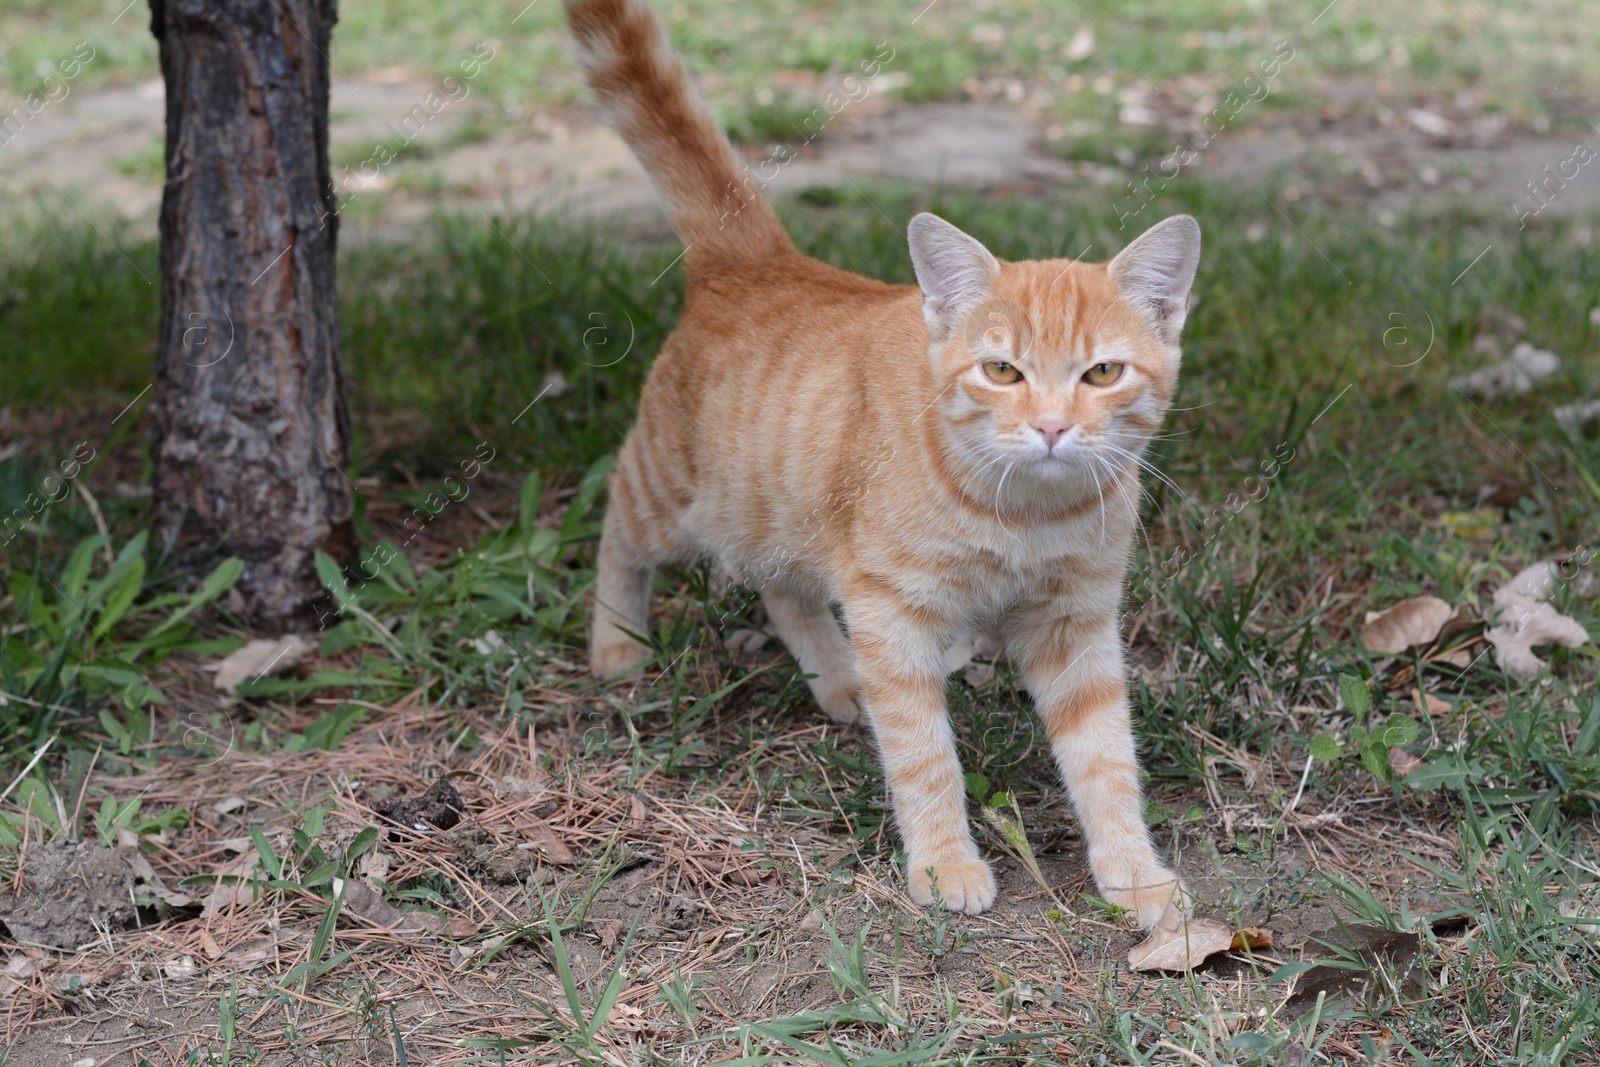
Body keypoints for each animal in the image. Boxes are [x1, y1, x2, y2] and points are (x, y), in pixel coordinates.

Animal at [569, 0, 1196, 927]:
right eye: (1001, 370)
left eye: (1102, 373)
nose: (1050, 427)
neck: (1026, 512)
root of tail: (759, 259)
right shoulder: (892, 612)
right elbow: (925, 754)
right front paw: (944, 865)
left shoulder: (1074, 624)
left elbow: (1106, 760)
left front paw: (1133, 872)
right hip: (675, 496)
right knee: (619, 523)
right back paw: (616, 642)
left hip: (788, 517)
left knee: (786, 588)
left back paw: (836, 676)